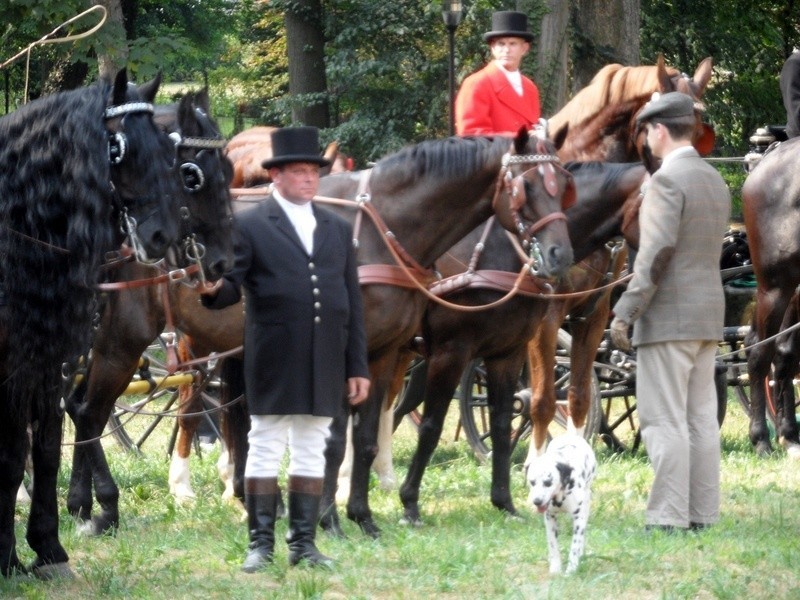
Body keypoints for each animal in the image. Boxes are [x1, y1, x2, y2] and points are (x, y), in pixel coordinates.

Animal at [0, 71, 181, 580]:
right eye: (117, 148)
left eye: (164, 146)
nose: (162, 235)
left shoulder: (37, 363)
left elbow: (35, 447)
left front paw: (42, 548)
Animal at [528, 434, 596, 576]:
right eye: (532, 482)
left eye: (547, 482)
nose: (537, 501)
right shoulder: (550, 518)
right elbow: (553, 545)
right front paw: (555, 568)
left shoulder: (579, 519)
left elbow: (575, 546)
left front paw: (571, 569)